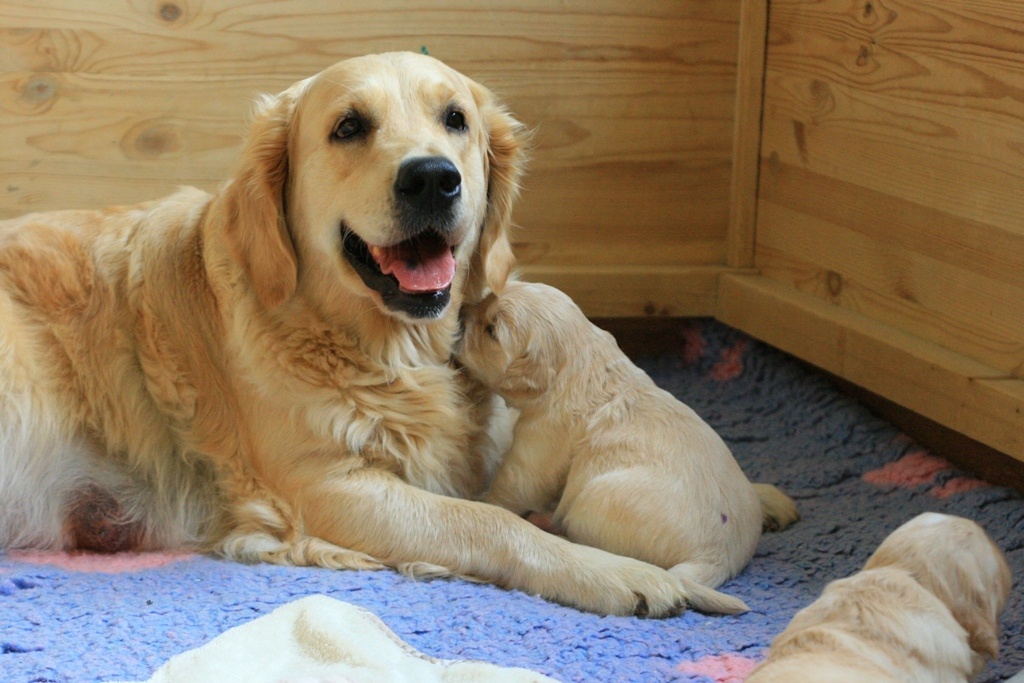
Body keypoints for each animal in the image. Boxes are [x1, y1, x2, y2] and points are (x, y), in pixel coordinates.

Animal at [0, 53, 712, 618]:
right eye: (348, 127)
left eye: (455, 119)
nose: (432, 178)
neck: (382, 348)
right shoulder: (324, 487)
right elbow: (488, 518)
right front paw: (616, 571)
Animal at [454, 278, 798, 614]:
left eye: (491, 330)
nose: (458, 314)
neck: (582, 364)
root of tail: (719, 558)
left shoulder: (538, 445)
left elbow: (509, 488)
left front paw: (483, 501)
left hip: (589, 503)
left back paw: (545, 522)